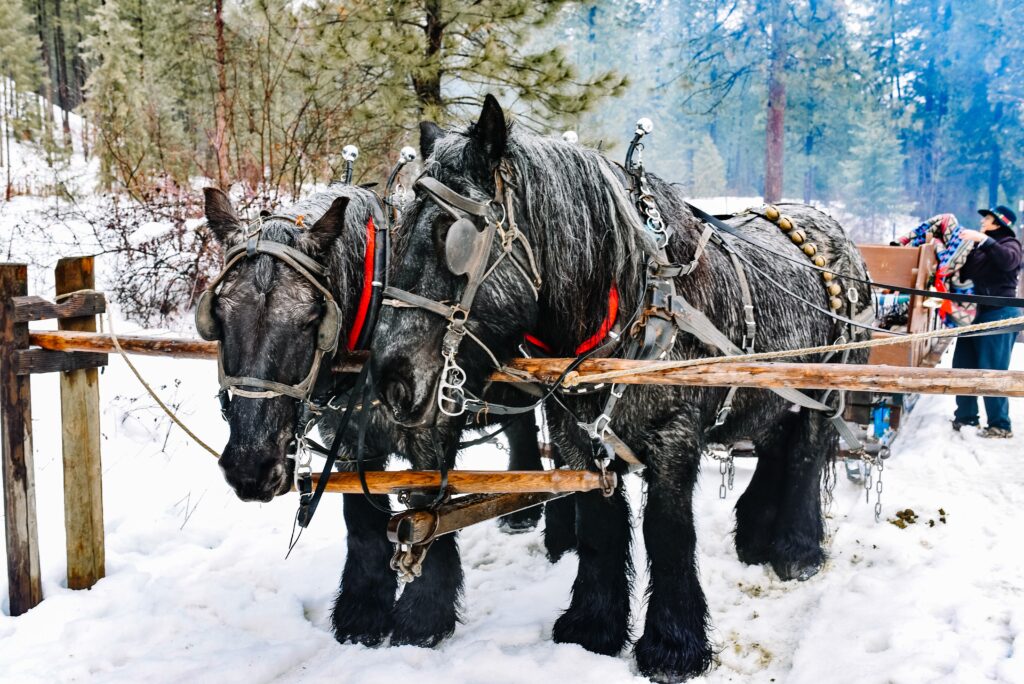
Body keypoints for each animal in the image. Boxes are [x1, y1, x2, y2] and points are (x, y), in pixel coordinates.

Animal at [372, 97, 868, 684]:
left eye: (453, 237)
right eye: (398, 230)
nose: (391, 380)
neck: (632, 303)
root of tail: (834, 230)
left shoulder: (674, 438)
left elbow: (668, 531)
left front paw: (673, 646)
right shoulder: (578, 440)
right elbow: (601, 528)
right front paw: (593, 629)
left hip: (825, 391)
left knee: (806, 456)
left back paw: (797, 550)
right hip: (771, 396)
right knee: (775, 449)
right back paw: (754, 538)